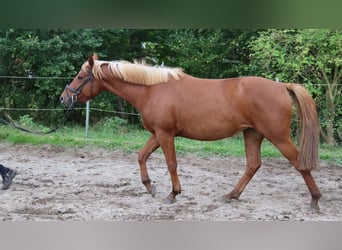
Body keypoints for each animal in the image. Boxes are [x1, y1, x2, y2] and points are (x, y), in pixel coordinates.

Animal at [60, 54, 320, 209]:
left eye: (81, 76)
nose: (64, 98)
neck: (152, 90)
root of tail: (282, 86)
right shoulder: (156, 134)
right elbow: (141, 156)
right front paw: (150, 187)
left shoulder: (165, 134)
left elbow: (171, 163)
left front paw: (173, 193)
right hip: (252, 134)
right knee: (253, 165)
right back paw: (231, 195)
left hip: (278, 137)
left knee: (299, 163)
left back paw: (315, 199)